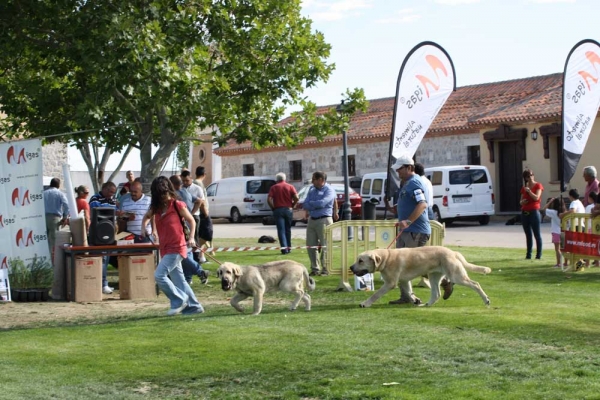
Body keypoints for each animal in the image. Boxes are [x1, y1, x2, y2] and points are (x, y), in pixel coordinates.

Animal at [350, 245, 490, 308]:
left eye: (360, 261)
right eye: (357, 260)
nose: (350, 267)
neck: (386, 258)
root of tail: (453, 252)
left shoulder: (390, 283)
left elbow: (375, 294)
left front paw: (365, 303)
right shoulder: (404, 281)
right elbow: (408, 292)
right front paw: (415, 300)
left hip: (456, 276)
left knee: (476, 284)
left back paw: (486, 300)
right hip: (433, 277)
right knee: (437, 293)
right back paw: (427, 304)